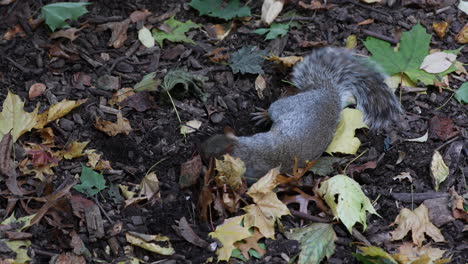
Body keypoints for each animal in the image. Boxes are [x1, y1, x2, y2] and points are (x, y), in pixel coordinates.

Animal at [200, 47, 402, 179]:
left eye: (212, 157)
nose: (200, 151)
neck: (244, 150)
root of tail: (329, 96)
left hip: (286, 105)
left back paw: (264, 114)